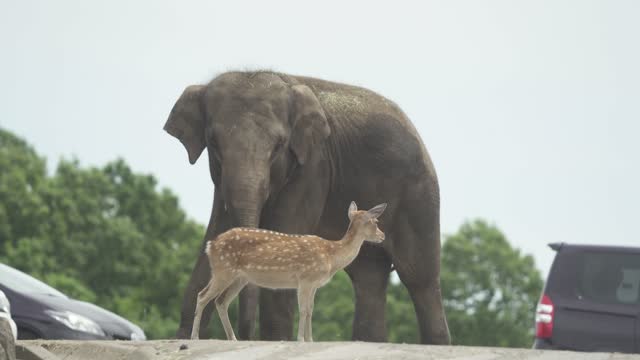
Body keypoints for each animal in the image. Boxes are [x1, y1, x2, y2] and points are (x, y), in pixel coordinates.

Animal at [190, 201, 388, 342]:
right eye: (375, 222)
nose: (382, 236)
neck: (332, 256)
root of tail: (211, 245)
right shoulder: (305, 279)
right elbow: (303, 310)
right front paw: (300, 339)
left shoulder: (314, 284)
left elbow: (310, 310)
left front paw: (310, 340)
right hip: (223, 270)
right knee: (202, 295)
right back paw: (195, 337)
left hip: (238, 278)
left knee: (220, 301)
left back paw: (233, 338)